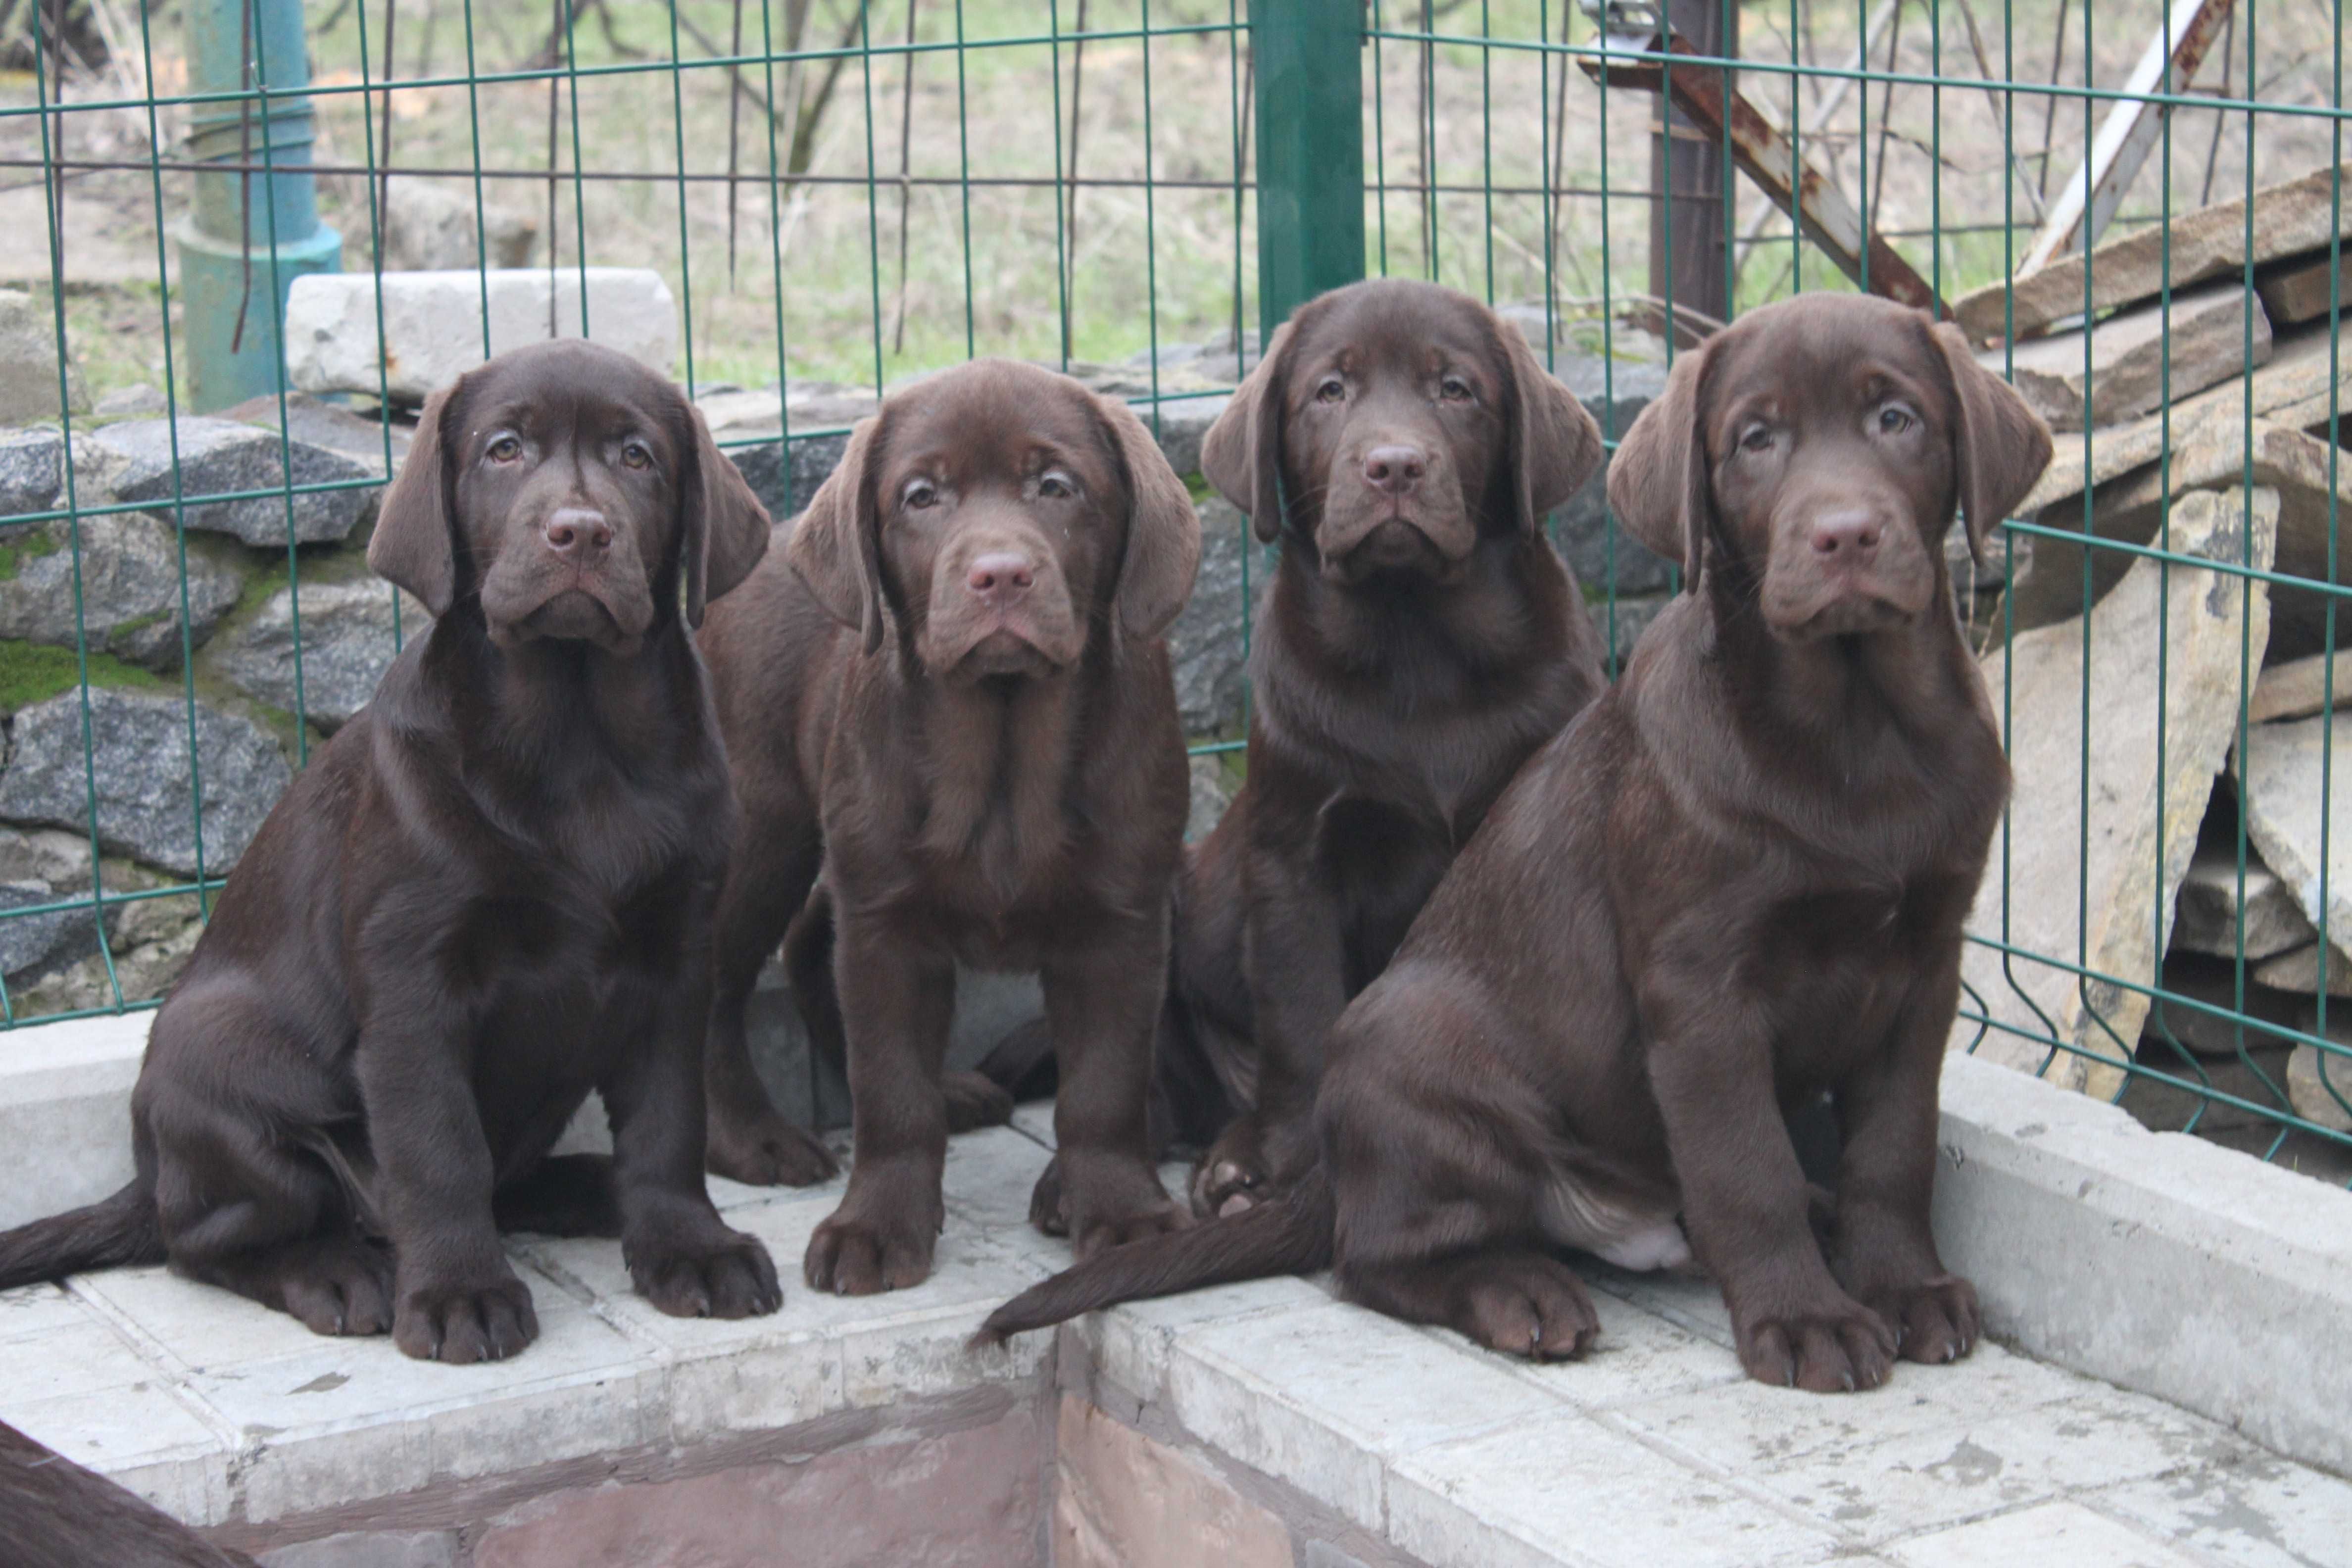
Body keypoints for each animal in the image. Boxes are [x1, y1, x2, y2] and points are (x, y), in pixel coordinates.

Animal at [686, 362, 1195, 1297]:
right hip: (762, 832)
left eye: (1056, 486)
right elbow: (891, 1087)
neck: (1002, 744)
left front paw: (1121, 1213)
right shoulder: (888, 927)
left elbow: (1103, 1088)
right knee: (717, 985)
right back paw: (750, 1137)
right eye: (922, 496)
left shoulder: (1122, 925)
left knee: (808, 941)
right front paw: (876, 1226)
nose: (1000, 576)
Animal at [1147, 278, 1609, 1213]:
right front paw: (1297, 1160)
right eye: (1330, 391)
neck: (1416, 640)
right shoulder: (1294, 856)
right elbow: (1303, 1016)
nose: (1393, 465)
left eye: (1455, 389)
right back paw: (1231, 1164)